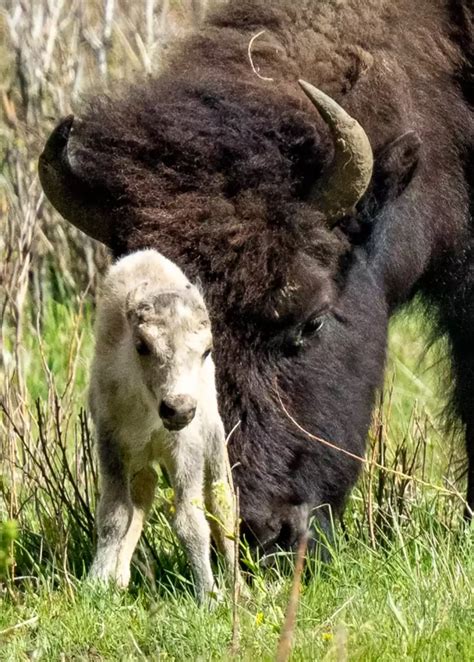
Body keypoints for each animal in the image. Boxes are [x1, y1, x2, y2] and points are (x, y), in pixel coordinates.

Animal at [87, 249, 239, 600]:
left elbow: (191, 521)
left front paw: (209, 595)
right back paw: (120, 577)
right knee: (143, 491)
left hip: (213, 439)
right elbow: (115, 513)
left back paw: (240, 587)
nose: (178, 409)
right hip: (141, 458)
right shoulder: (111, 443)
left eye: (207, 350)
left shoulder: (186, 448)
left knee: (222, 503)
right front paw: (97, 582)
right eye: (143, 345)